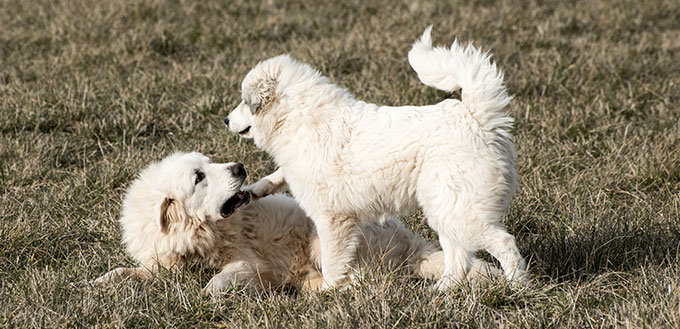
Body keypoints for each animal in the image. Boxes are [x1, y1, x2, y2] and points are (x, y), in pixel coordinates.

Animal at [93, 151, 494, 292]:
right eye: (199, 177)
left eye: (208, 163)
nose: (239, 167)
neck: (202, 233)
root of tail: (411, 242)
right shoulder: (162, 262)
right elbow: (130, 272)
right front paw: (102, 282)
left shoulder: (251, 263)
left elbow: (221, 279)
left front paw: (208, 293)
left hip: (324, 237)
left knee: (359, 279)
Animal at [226, 26, 528, 290]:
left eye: (244, 101)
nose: (226, 120)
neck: (298, 117)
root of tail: (476, 116)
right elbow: (278, 176)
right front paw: (254, 190)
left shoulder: (332, 219)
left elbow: (333, 261)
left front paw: (328, 291)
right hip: (447, 209)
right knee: (459, 257)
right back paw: (441, 292)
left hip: (462, 211)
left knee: (503, 243)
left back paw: (516, 287)